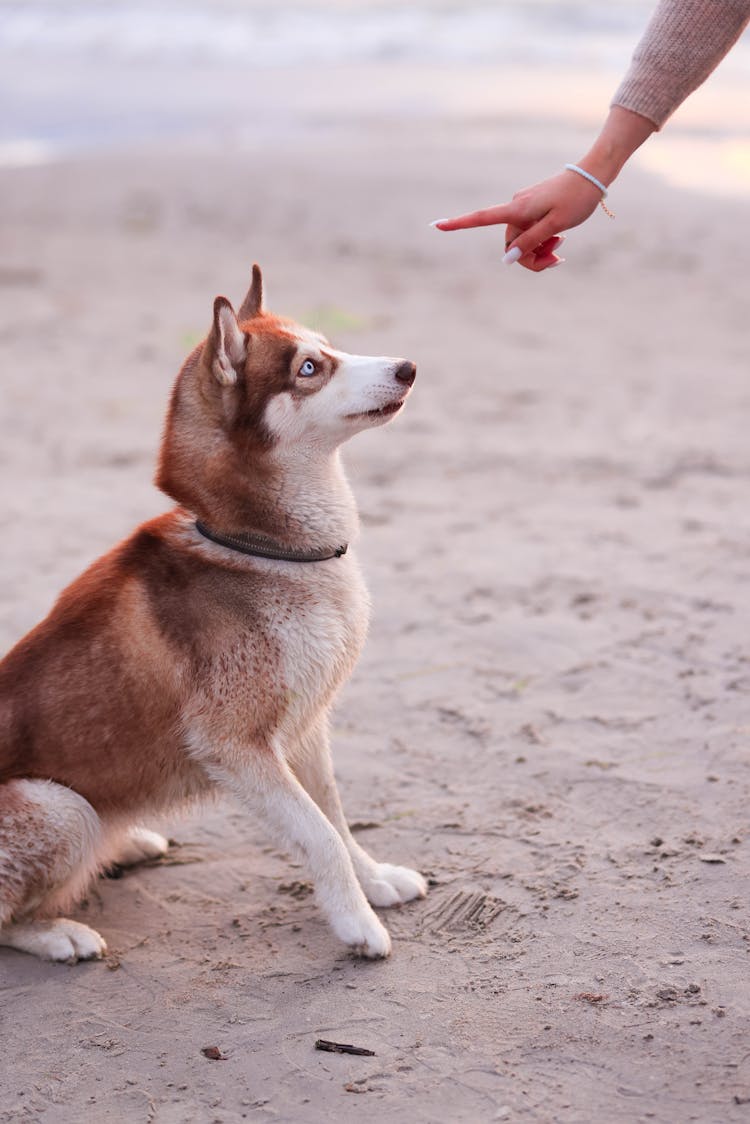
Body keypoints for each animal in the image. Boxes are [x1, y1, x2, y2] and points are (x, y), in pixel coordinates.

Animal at [0, 267, 425, 962]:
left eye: (329, 345)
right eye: (310, 368)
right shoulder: (235, 744)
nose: (408, 367)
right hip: (62, 809)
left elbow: (335, 816)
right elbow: (319, 834)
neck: (265, 549)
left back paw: (128, 843)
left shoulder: (305, 727)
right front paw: (356, 923)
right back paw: (58, 933)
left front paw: (375, 881)